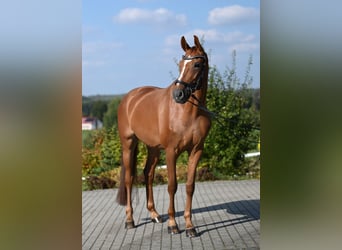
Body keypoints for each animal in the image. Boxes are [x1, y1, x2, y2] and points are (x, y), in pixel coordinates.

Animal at [116, 35, 210, 238]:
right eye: (181, 64)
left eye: (197, 64)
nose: (179, 94)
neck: (188, 112)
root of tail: (130, 97)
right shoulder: (171, 151)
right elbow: (172, 185)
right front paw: (173, 225)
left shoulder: (196, 151)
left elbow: (189, 186)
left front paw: (190, 226)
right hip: (129, 144)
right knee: (129, 179)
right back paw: (130, 220)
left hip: (153, 148)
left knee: (148, 174)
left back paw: (154, 214)